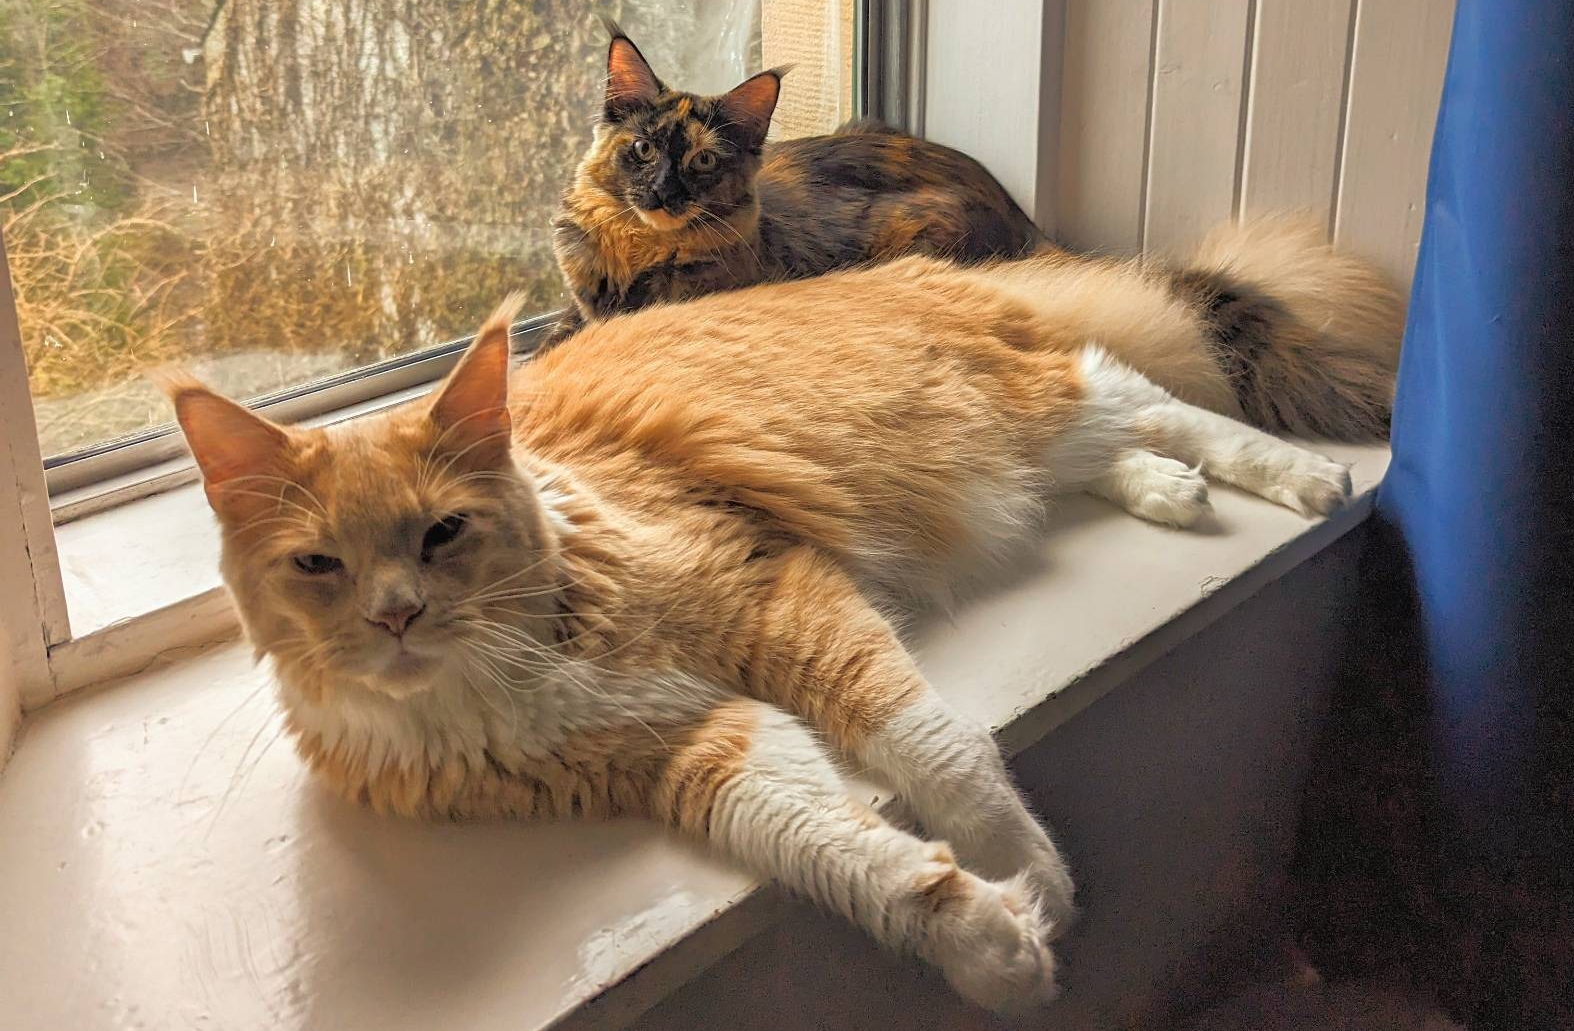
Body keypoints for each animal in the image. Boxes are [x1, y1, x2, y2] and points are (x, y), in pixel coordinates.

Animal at [172, 217, 1404, 1013]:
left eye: (440, 534)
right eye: (318, 563)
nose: (397, 616)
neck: (507, 670)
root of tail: (924, 270)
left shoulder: (772, 594)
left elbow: (936, 751)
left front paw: (1034, 876)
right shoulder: (695, 750)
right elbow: (844, 851)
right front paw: (991, 944)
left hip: (1022, 404)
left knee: (1154, 398)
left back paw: (1303, 479)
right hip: (1015, 443)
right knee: (1121, 444)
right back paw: (1169, 495)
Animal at [547, 23, 1051, 343]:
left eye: (703, 160)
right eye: (644, 149)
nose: (663, 192)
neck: (638, 250)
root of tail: (1020, 215)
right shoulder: (580, 305)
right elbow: (561, 331)